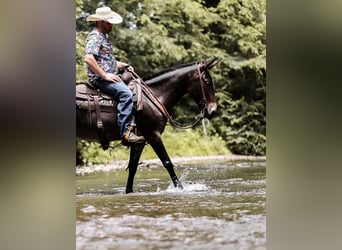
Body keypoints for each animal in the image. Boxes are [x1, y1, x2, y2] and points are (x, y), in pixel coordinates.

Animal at [76, 57, 220, 193]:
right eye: (207, 82)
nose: (212, 110)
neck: (155, 95)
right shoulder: (153, 135)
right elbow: (167, 162)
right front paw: (180, 188)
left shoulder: (139, 140)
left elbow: (133, 167)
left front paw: (129, 191)